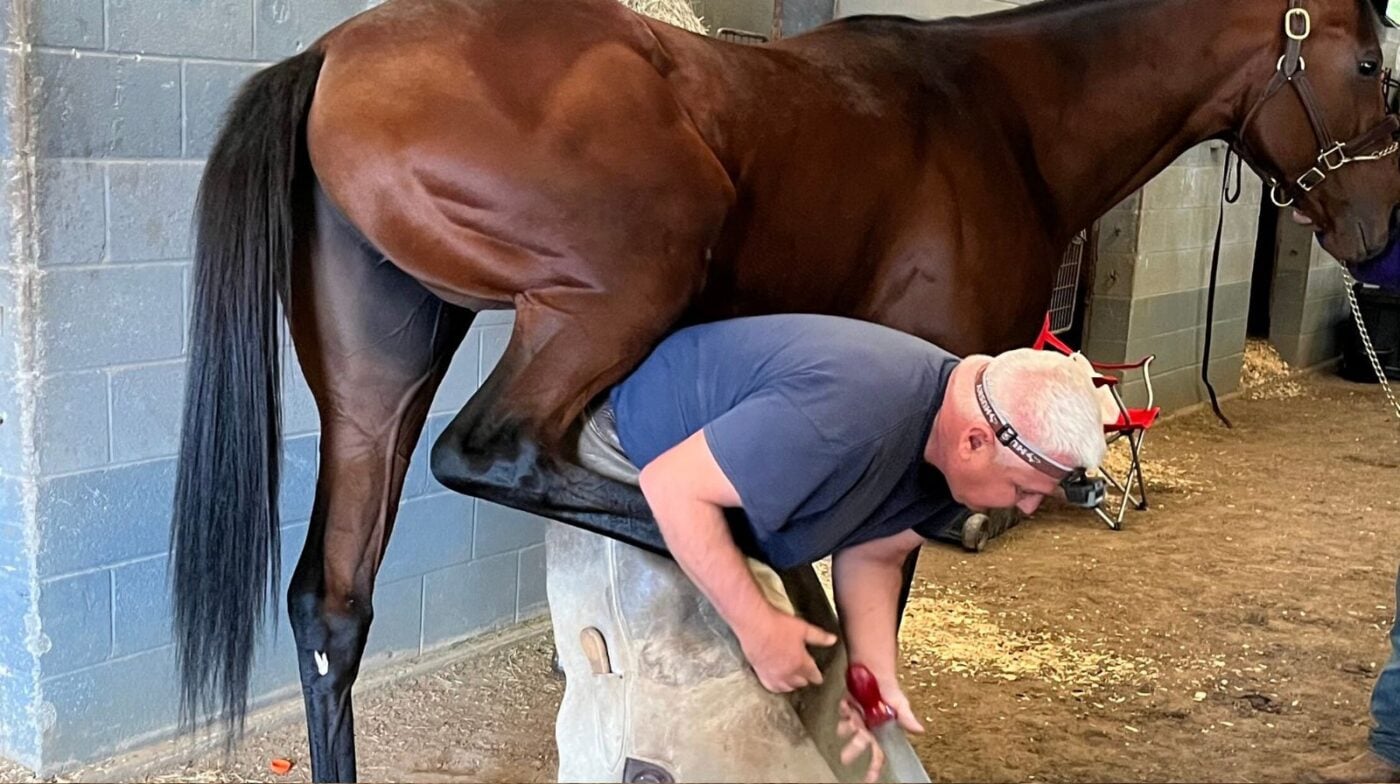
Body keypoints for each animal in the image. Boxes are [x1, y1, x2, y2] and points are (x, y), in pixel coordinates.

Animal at [169, 0, 1400, 779]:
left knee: (332, 604)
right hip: (619, 288)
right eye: (1371, 66)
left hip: (380, 373)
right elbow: (876, 601)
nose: (1377, 235)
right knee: (500, 450)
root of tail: (333, 51)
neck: (1001, 114)